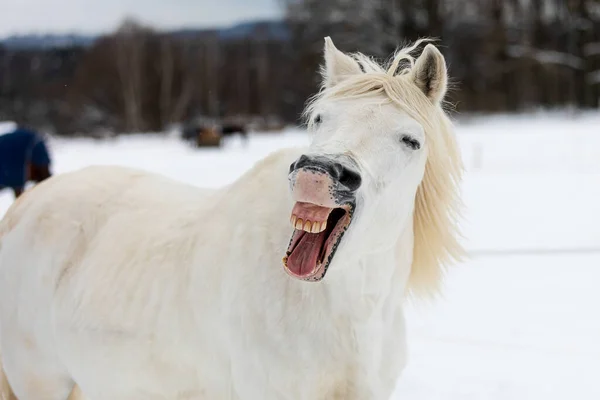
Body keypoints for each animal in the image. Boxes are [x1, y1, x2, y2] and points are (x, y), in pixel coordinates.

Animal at [0, 38, 464, 400]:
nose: (317, 172)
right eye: (320, 118)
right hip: (39, 381)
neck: (349, 313)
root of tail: (26, 207)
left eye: (410, 140)